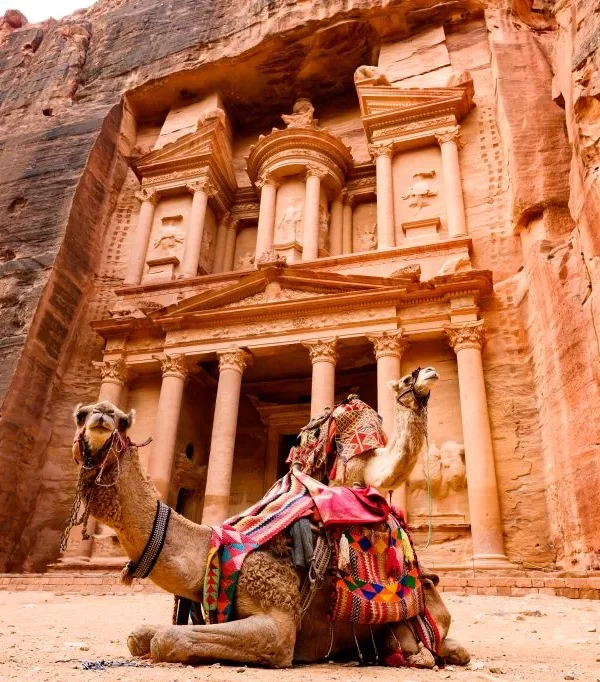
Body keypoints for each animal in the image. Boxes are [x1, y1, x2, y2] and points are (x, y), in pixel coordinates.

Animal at [68, 366, 472, 664]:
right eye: (80, 414)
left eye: (122, 420)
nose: (103, 416)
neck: (211, 549)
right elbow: (139, 636)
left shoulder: (279, 622)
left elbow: (168, 639)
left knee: (445, 645)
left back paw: (421, 652)